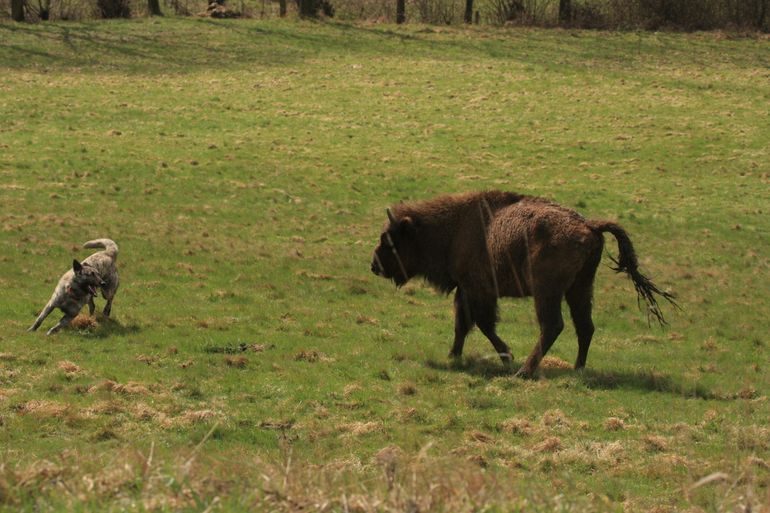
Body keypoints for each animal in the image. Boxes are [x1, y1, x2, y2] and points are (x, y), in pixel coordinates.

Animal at [368, 190, 676, 378]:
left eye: (389, 240)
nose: (374, 266)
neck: (454, 228)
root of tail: (590, 225)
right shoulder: (466, 290)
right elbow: (463, 324)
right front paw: (453, 354)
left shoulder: (478, 290)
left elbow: (482, 323)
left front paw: (506, 356)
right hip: (580, 287)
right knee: (585, 326)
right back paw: (577, 369)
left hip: (546, 291)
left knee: (553, 325)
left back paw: (525, 371)